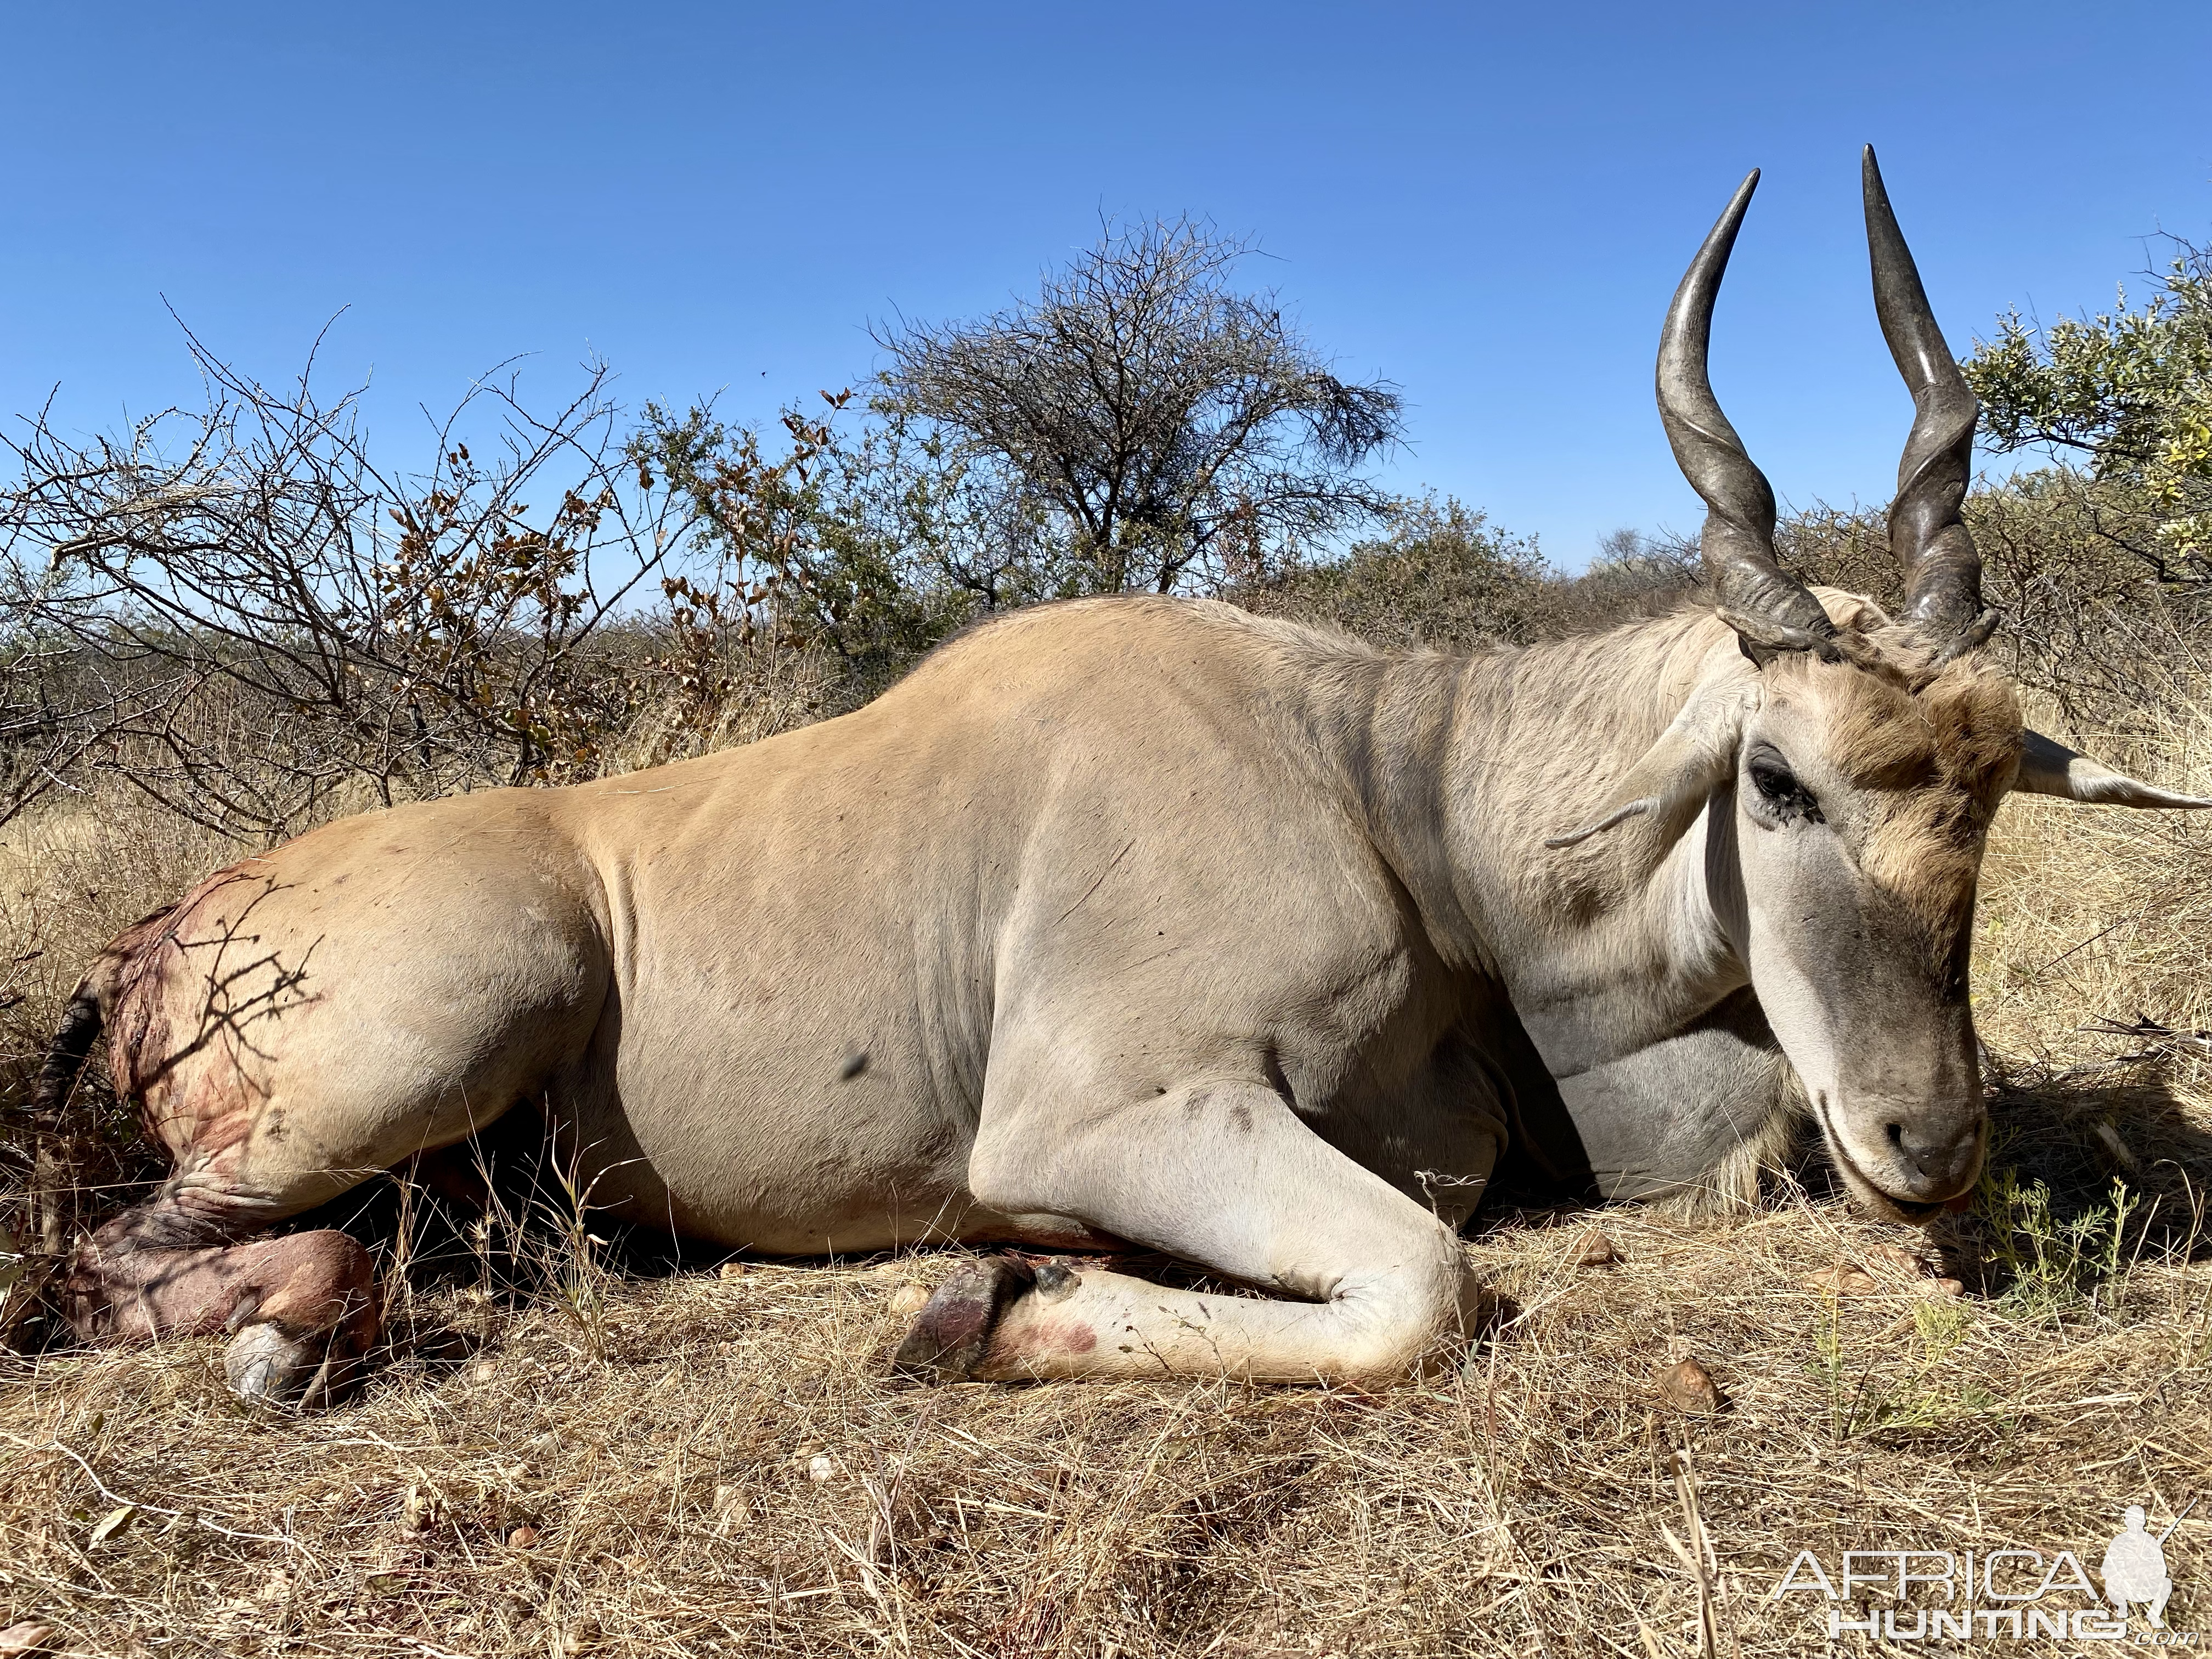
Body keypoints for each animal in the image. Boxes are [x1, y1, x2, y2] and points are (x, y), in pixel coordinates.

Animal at [39, 146, 2212, 1407]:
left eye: (1984, 800)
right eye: (1774, 779)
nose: (1930, 1139)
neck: (1392, 790)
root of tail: (150, 944)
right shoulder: (1102, 1119)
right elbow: (1422, 1288)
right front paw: (988, 1307)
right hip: (440, 1030)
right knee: (110, 1262)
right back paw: (279, 1339)